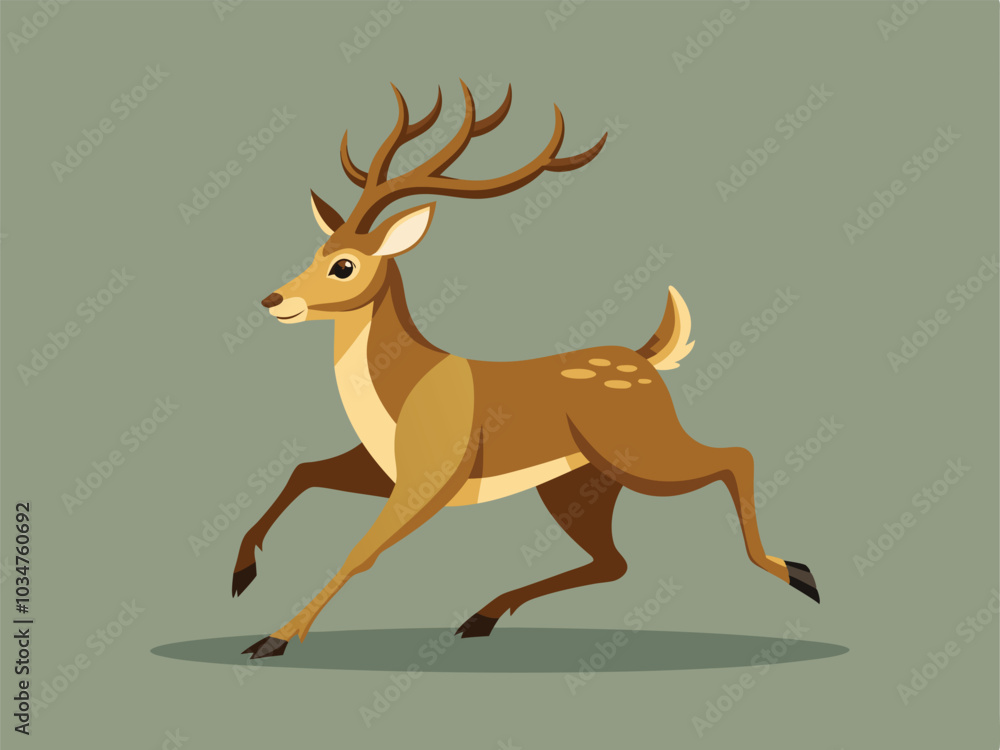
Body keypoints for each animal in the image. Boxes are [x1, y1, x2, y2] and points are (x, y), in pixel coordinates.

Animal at [234, 82, 819, 660]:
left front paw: (274, 638)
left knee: (735, 457)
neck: (400, 390)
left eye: (344, 265)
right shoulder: (385, 469)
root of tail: (645, 357)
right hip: (579, 483)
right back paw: (482, 616)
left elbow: (360, 550)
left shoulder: (433, 472)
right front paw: (242, 573)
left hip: (639, 448)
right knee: (615, 560)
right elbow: (303, 470)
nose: (273, 299)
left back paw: (797, 572)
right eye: (318, 250)